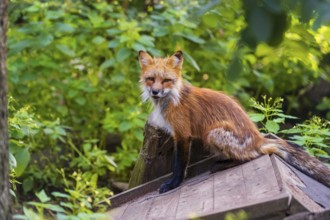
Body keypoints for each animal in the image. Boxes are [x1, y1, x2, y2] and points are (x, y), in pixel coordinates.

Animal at [137, 49, 330, 192]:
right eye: (151, 79)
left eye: (166, 80)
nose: (155, 92)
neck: (173, 98)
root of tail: (259, 138)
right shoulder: (178, 135)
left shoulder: (183, 135)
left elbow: (179, 165)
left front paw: (173, 184)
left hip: (213, 134)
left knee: (254, 155)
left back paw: (223, 164)